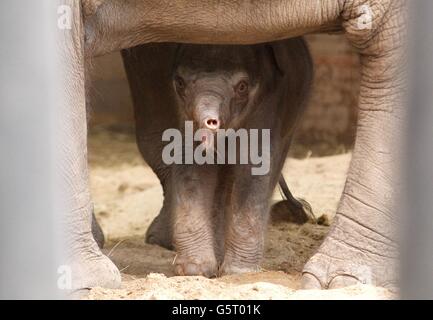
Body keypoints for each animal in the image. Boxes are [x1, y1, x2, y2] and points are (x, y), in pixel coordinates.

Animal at [120, 38, 312, 276]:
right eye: (181, 83)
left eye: (242, 86)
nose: (210, 124)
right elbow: (191, 165)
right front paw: (195, 269)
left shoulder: (271, 101)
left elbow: (253, 164)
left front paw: (239, 272)